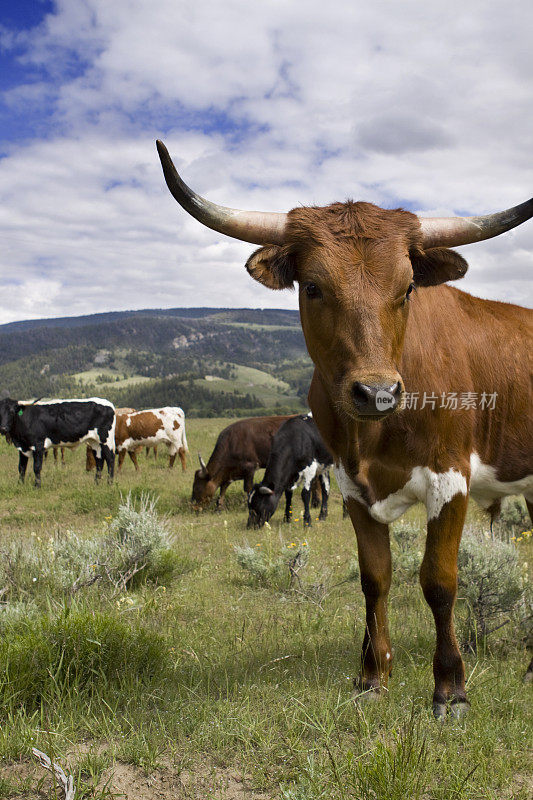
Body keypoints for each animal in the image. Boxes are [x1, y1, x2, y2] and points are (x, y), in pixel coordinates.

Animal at [156, 139, 528, 720]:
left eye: (408, 287)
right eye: (312, 286)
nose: (377, 393)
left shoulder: (451, 480)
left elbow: (439, 581)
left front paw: (450, 687)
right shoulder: (353, 485)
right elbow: (375, 578)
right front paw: (373, 675)